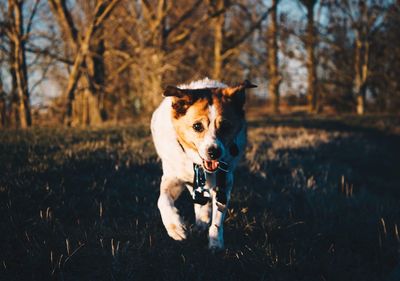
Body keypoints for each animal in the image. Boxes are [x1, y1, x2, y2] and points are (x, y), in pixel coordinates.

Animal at [150, 77, 256, 248]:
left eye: (225, 126)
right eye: (197, 126)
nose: (214, 152)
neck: (198, 165)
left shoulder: (224, 183)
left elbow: (218, 217)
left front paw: (215, 241)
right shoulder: (173, 178)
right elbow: (162, 201)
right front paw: (175, 228)